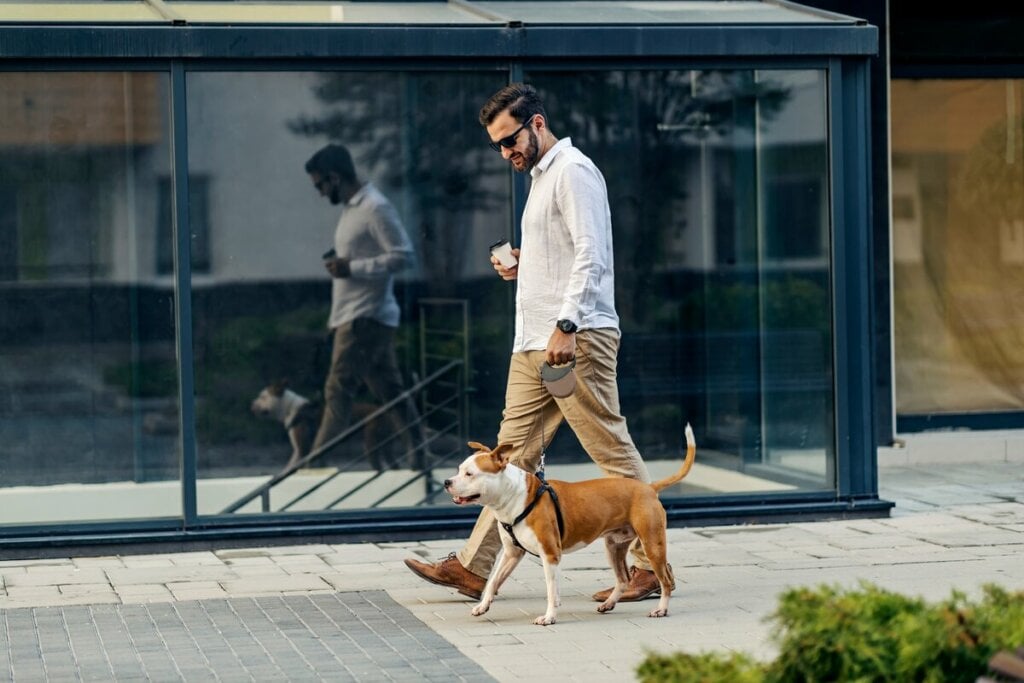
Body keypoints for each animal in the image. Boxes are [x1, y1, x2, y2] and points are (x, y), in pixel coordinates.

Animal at [442, 423, 696, 626]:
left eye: (470, 474)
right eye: (458, 470)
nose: (446, 482)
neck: (515, 496)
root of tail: (649, 488)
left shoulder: (550, 555)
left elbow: (551, 590)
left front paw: (549, 617)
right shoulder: (512, 553)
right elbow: (494, 580)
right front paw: (483, 605)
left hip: (652, 544)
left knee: (665, 580)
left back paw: (661, 609)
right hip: (614, 546)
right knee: (623, 579)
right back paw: (609, 604)